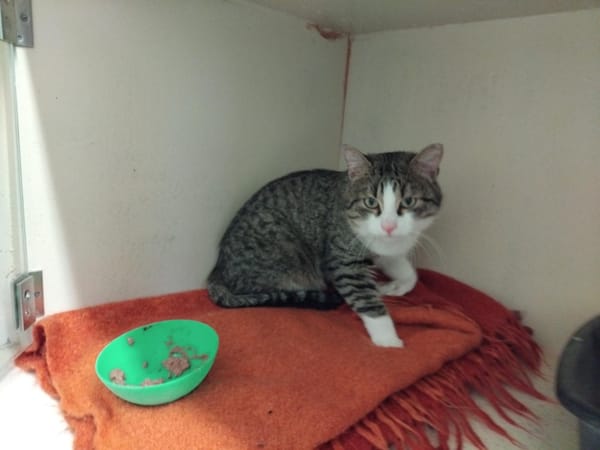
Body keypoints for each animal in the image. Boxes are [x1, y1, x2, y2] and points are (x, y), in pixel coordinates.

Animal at [207, 143, 443, 348]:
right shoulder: (345, 261)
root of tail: (217, 269)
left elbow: (408, 272)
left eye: (409, 201)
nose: (388, 225)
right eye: (370, 202)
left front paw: (394, 286)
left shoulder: (385, 248)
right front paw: (388, 341)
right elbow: (366, 299)